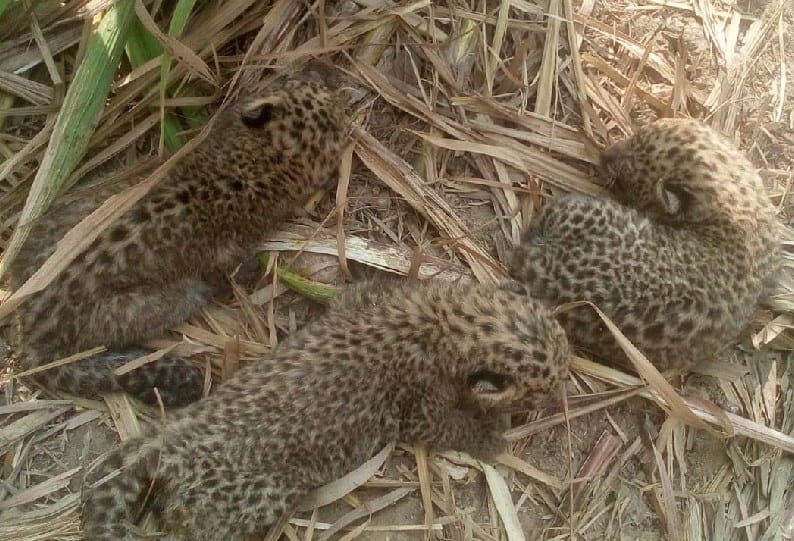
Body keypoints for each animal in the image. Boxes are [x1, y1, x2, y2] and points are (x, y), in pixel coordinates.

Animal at [5, 74, 348, 407]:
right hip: (142, 305)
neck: (258, 162)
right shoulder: (229, 253)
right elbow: (237, 271)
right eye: (325, 103)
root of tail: (29, 336)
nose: (326, 74)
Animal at [80, 280, 571, 540]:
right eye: (539, 393)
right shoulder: (420, 407)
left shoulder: (359, 300)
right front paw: (489, 436)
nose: (557, 396)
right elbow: (448, 425)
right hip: (253, 493)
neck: (446, 322)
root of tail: (169, 436)